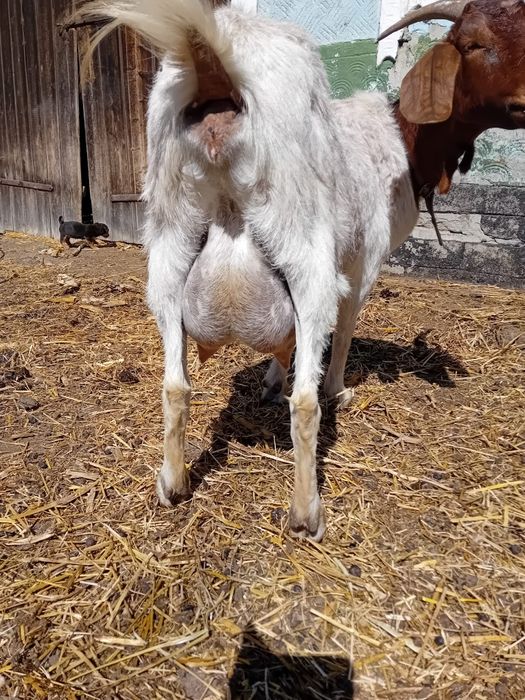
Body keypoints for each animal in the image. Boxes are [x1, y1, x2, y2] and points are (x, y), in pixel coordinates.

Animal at [74, 0, 524, 541]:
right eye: (475, 43)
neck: (403, 143)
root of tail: (211, 58)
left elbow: (281, 345)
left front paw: (271, 379)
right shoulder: (365, 258)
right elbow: (345, 329)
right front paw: (336, 389)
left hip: (167, 246)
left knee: (175, 385)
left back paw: (173, 484)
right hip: (306, 246)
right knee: (306, 401)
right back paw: (307, 512)